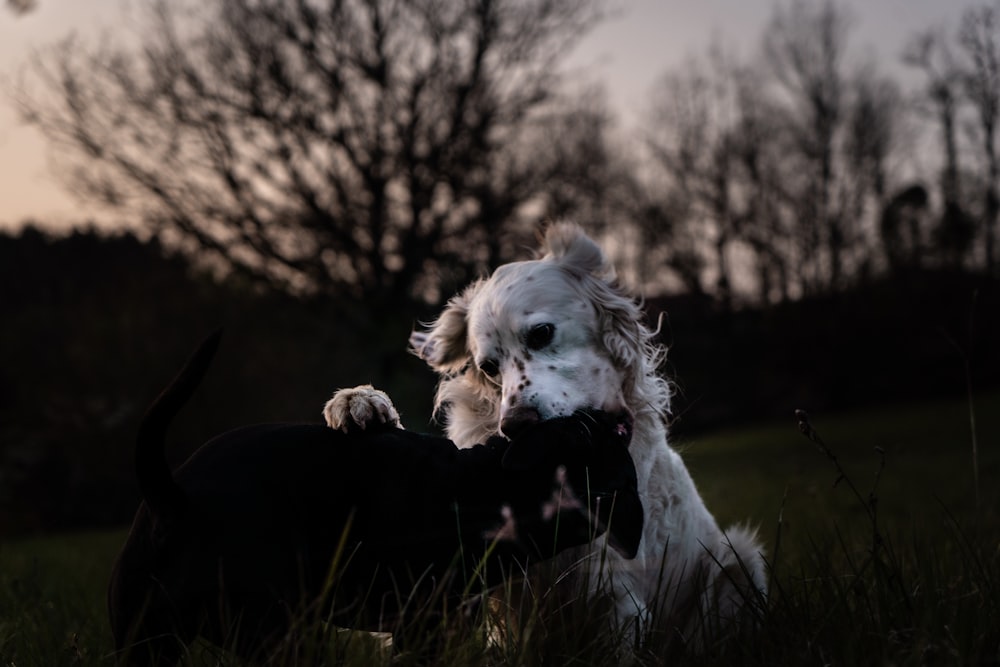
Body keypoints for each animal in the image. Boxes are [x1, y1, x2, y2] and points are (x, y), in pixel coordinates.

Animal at [109, 334, 640, 664]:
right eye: (584, 430)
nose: (618, 416)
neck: (485, 485)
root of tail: (173, 498)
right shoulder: (423, 624)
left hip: (148, 635)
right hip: (275, 628)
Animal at [326, 222, 764, 648]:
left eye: (541, 333)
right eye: (488, 367)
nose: (515, 425)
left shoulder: (616, 596)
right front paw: (360, 401)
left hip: (739, 564)